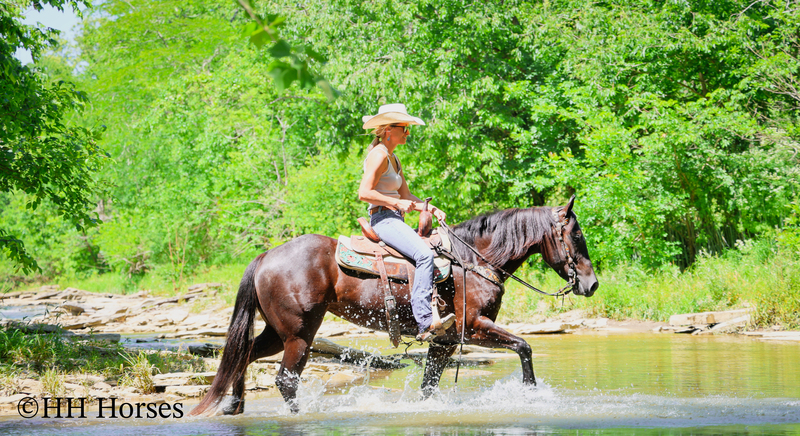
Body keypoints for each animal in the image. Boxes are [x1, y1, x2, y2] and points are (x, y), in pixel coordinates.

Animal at [190, 195, 598, 416]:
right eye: (575, 235)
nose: (591, 284)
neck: (471, 261)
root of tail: (267, 256)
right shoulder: (472, 328)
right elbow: (524, 346)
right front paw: (530, 392)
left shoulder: (443, 342)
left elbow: (429, 385)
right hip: (299, 334)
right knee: (285, 380)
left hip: (278, 332)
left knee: (243, 355)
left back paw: (234, 405)